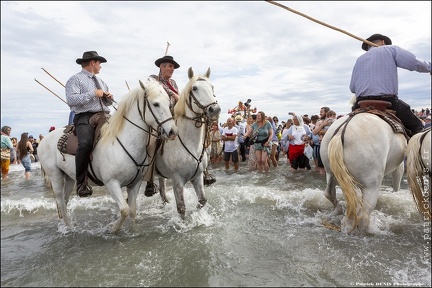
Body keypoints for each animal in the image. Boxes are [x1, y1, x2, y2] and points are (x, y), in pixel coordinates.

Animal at [37, 78, 178, 232]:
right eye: (156, 104)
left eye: (169, 103)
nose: (173, 132)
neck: (124, 141)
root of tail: (43, 140)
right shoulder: (112, 183)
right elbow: (124, 210)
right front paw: (113, 228)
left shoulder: (135, 184)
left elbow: (132, 211)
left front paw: (132, 230)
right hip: (55, 176)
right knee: (60, 201)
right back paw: (69, 227)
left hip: (69, 177)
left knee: (64, 199)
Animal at [153, 67, 219, 219]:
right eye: (194, 88)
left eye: (212, 87)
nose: (215, 110)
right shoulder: (177, 180)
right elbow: (181, 208)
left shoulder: (198, 177)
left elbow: (202, 201)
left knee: (163, 192)